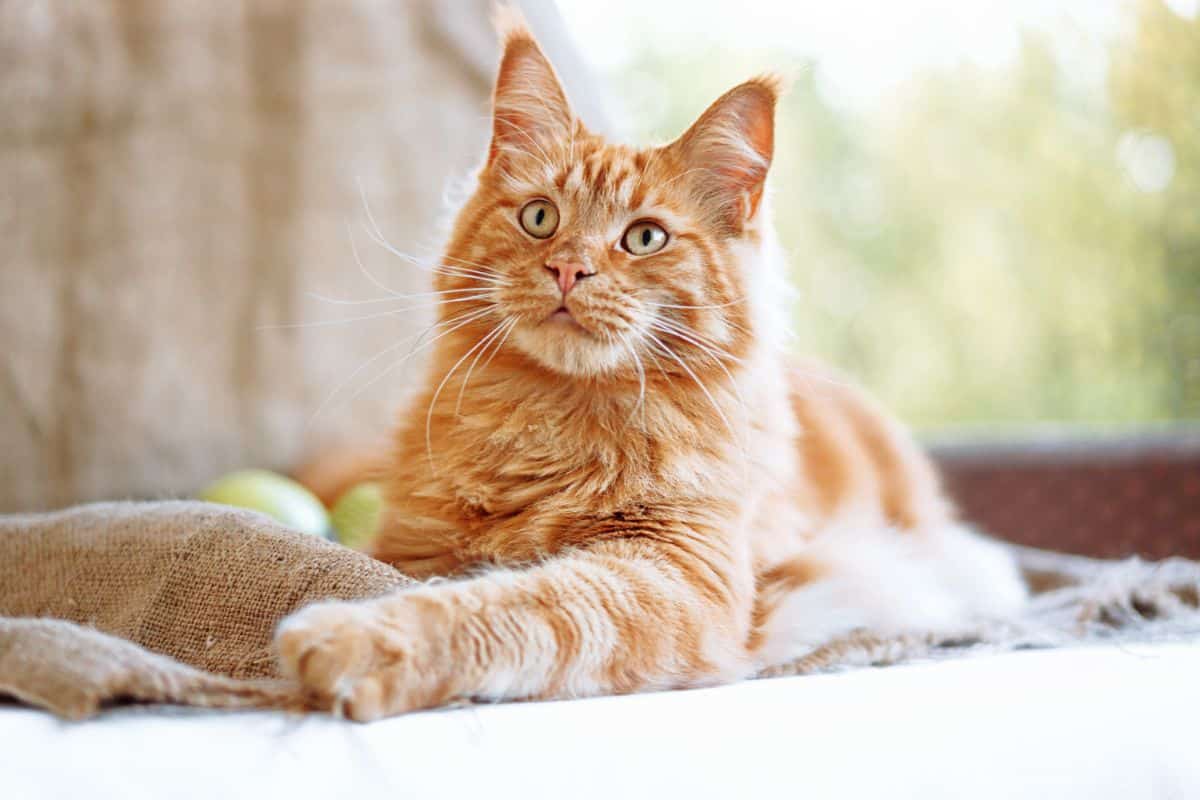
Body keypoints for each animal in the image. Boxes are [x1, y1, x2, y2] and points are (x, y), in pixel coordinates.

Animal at [276, 15, 1027, 724]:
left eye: (644, 238)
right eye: (540, 218)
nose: (568, 269)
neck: (554, 420)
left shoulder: (671, 576)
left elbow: (508, 604)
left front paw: (355, 641)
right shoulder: (411, 547)